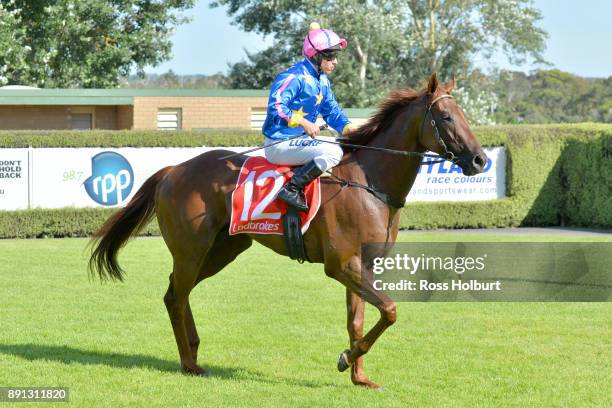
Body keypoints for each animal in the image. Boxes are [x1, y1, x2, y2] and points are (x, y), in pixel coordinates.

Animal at [88, 73, 486, 388]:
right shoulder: (341, 265)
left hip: (221, 251)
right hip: (191, 250)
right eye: (446, 117)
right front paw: (345, 358)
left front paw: (359, 376)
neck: (369, 182)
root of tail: (173, 170)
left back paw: (194, 351)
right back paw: (189, 362)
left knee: (178, 293)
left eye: (465, 115)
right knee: (175, 296)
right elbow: (389, 310)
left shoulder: (363, 266)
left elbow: (357, 321)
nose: (480, 159)